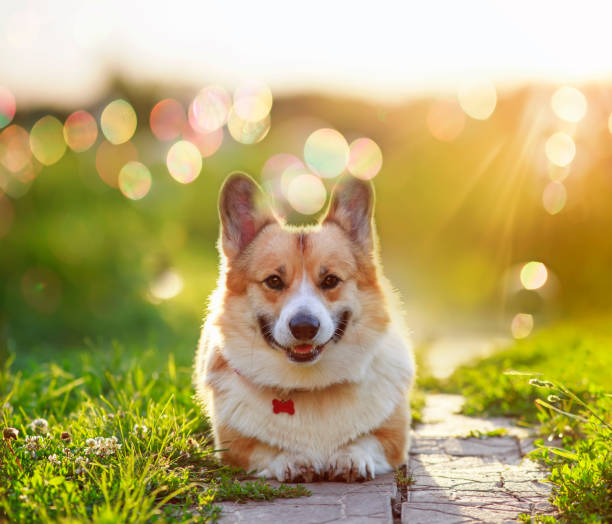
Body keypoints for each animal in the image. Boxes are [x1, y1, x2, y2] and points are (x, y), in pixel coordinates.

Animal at [196, 173, 416, 484]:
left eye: (331, 280)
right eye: (274, 281)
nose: (304, 327)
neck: (310, 386)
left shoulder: (394, 440)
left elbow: (366, 440)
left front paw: (350, 457)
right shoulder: (233, 449)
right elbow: (264, 448)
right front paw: (291, 459)